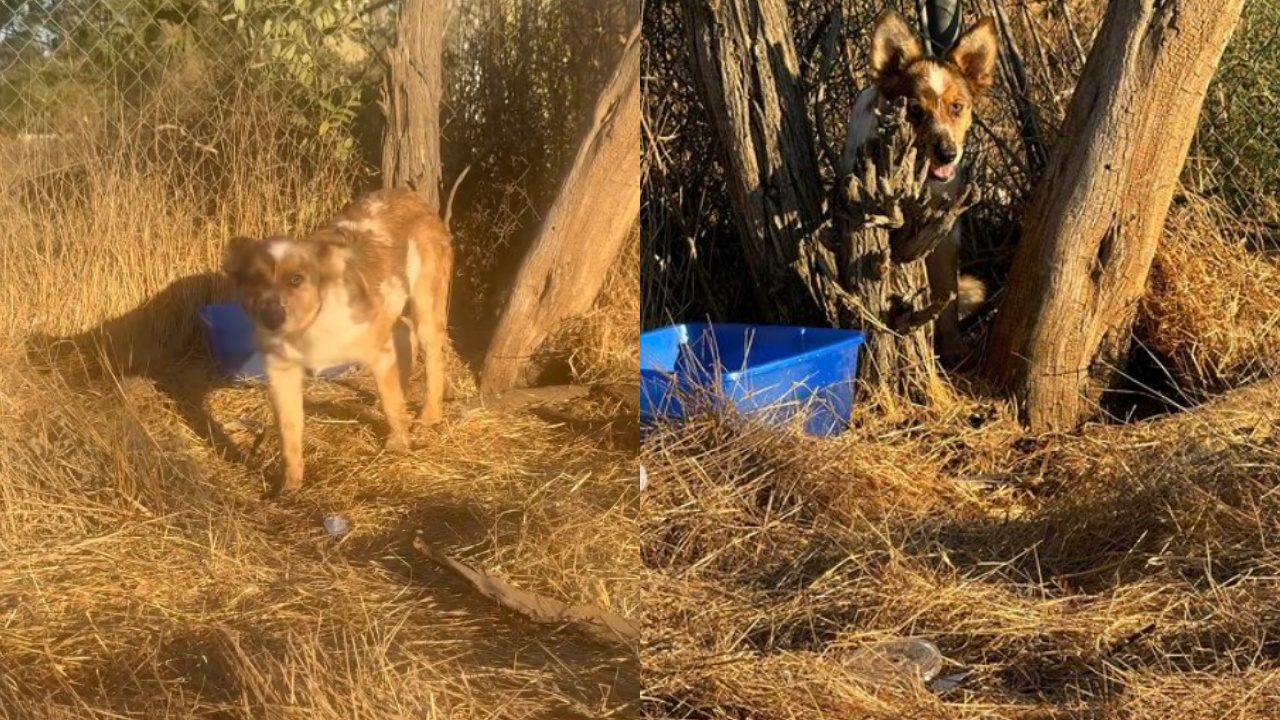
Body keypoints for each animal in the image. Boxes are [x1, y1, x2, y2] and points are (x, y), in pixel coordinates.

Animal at [224, 185, 455, 491]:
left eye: (297, 279)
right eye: (254, 281)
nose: (272, 319)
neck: (307, 327)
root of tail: (410, 194)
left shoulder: (378, 353)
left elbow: (391, 405)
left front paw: (399, 444)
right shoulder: (281, 373)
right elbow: (288, 434)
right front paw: (290, 487)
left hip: (425, 303)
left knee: (431, 353)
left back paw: (429, 415)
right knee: (405, 335)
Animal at [839, 8, 998, 361]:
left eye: (957, 107)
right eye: (914, 110)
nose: (948, 153)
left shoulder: (945, 235)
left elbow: (947, 296)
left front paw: (954, 349)